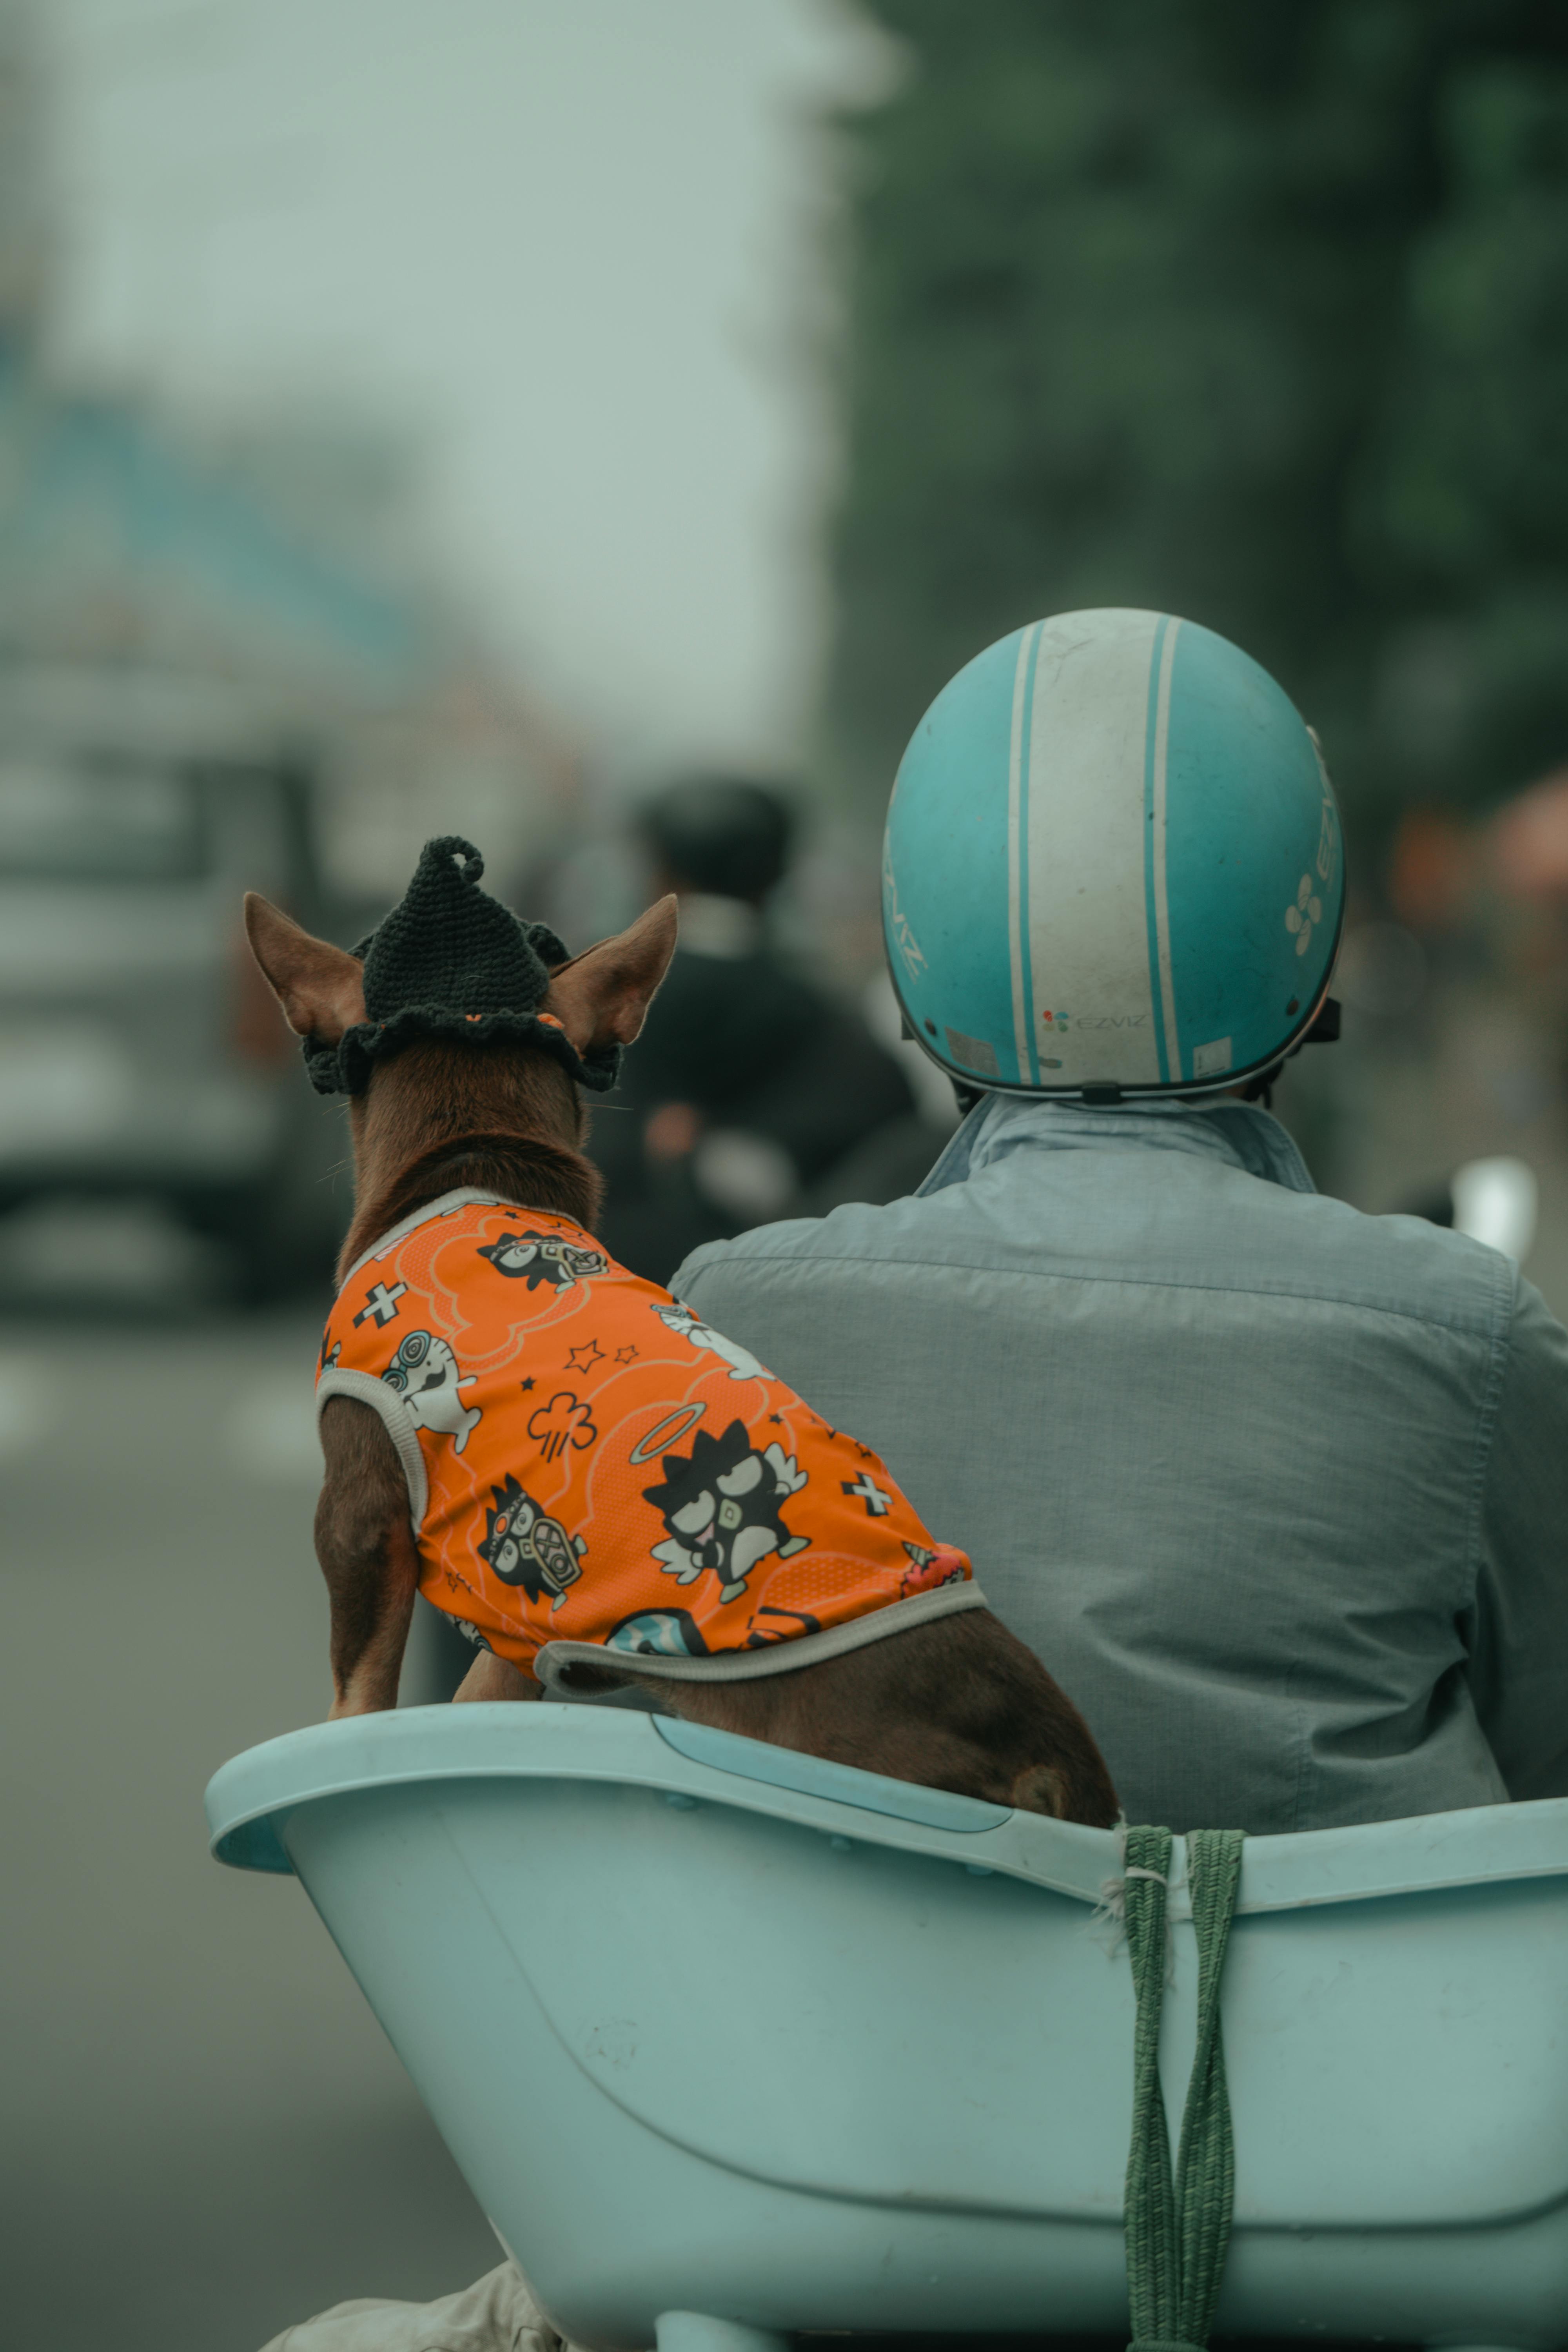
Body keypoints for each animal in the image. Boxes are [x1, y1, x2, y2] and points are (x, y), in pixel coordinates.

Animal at [245, 889, 1123, 1825]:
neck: (477, 1170)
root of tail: (1045, 1758)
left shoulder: (360, 1510)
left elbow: (358, 1696)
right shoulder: (525, 1627)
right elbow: (476, 1697)